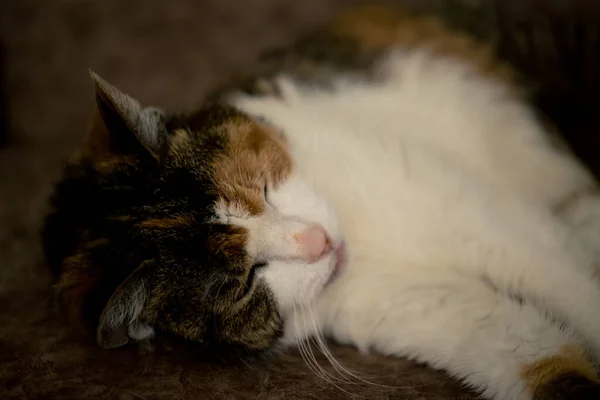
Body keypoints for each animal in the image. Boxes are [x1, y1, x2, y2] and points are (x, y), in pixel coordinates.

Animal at [43, 3, 600, 400]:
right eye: (243, 282)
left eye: (262, 187)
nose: (317, 241)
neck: (364, 247)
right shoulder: (417, 305)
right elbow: (531, 353)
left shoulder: (468, 214)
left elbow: (564, 279)